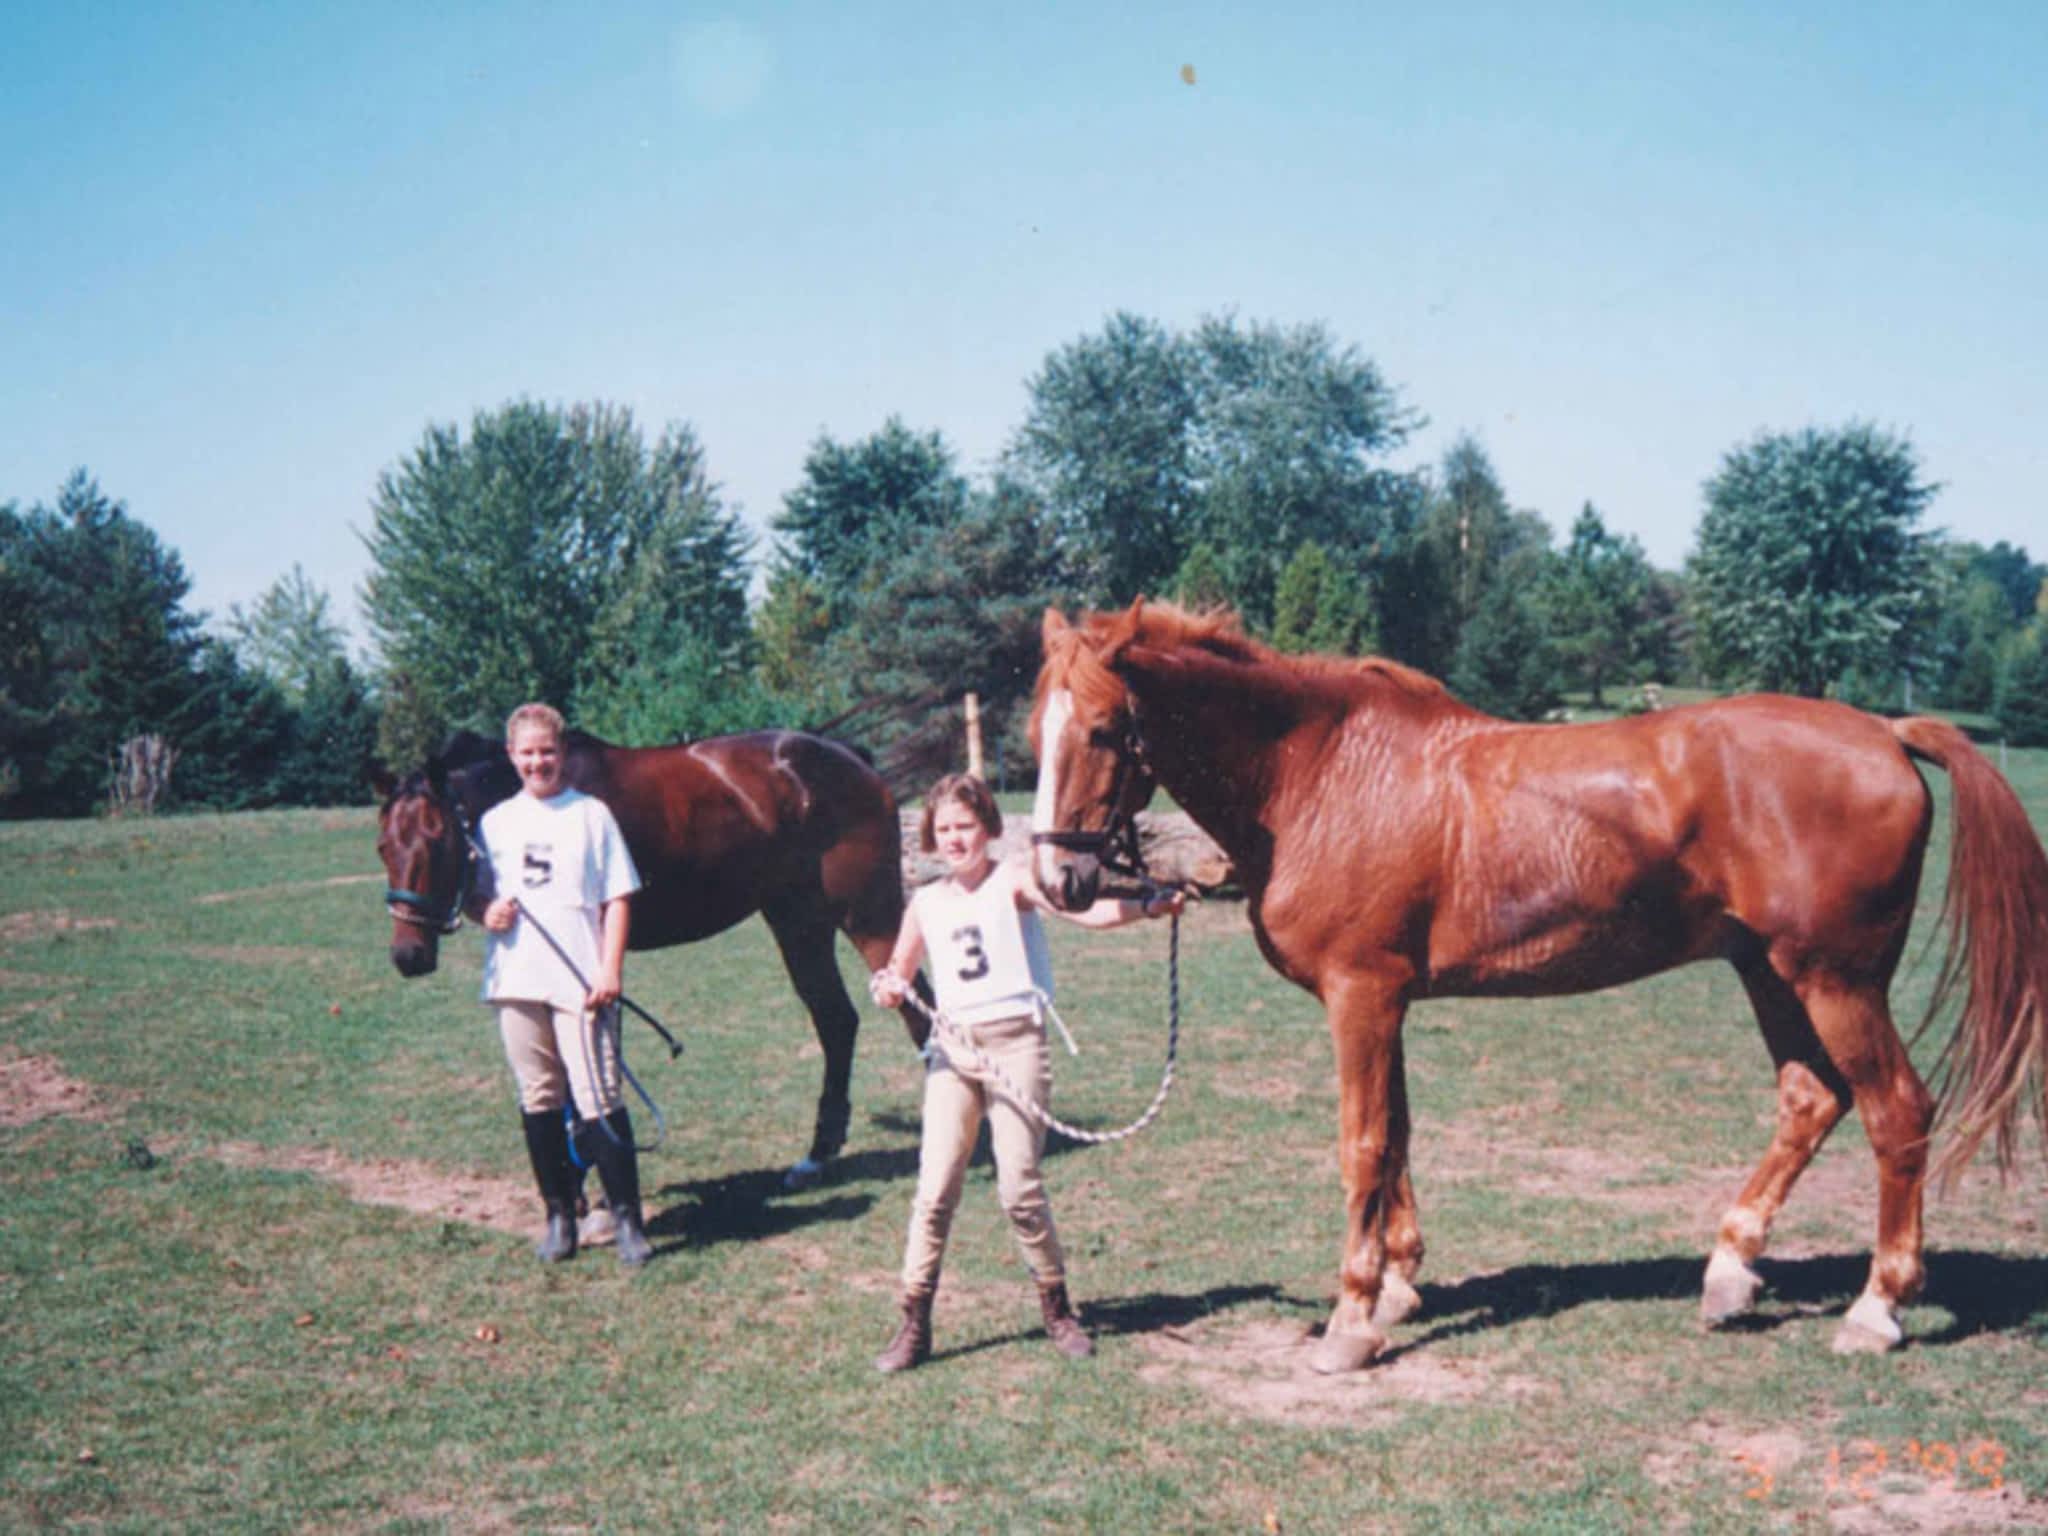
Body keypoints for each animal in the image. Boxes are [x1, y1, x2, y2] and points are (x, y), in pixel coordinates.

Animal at [376, 729, 929, 1187]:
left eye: (437, 840)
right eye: (383, 846)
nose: (408, 954)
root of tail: (850, 760)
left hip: (868, 917)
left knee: (914, 1008)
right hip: (799, 923)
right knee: (837, 1021)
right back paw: (817, 1154)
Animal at [1032, 602, 2048, 1368]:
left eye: (1103, 729)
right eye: (1033, 732)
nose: (1058, 879)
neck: (1321, 773)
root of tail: (1885, 731)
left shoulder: (1362, 996)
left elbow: (1364, 1146)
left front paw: (1352, 1321)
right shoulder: (1388, 999)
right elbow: (1399, 1137)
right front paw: (1398, 1285)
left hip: (1837, 982)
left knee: (1897, 1111)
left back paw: (1877, 1307)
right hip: (1770, 973)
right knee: (1810, 1100)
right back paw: (1730, 1272)